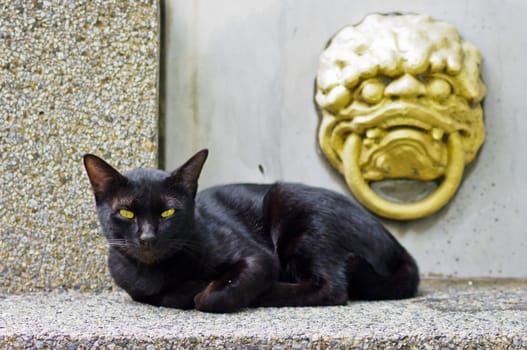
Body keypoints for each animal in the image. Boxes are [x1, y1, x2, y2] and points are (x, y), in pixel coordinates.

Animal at [83, 149, 420, 314]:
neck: (159, 271)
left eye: (168, 212)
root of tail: (398, 246)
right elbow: (161, 295)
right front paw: (186, 288)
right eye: (127, 213)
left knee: (331, 287)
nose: (148, 237)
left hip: (299, 215)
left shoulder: (256, 256)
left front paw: (203, 289)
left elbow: (211, 298)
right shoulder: (136, 288)